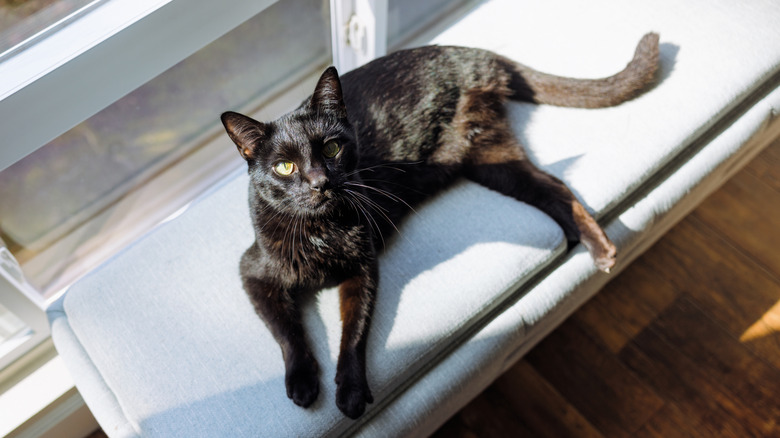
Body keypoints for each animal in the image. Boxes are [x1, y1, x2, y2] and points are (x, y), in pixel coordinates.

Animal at [219, 32, 660, 420]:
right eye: (284, 166)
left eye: (331, 147)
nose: (320, 182)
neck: (321, 231)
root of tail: (463, 50)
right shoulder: (253, 272)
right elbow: (287, 331)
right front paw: (303, 383)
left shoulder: (363, 269)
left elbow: (354, 333)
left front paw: (351, 392)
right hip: (494, 161)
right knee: (554, 187)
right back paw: (596, 246)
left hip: (491, 156)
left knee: (557, 187)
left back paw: (601, 248)